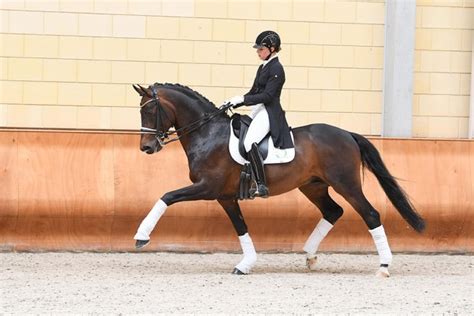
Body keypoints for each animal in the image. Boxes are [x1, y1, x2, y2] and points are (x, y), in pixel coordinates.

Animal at [131, 82, 426, 276]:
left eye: (150, 111)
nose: (146, 147)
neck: (208, 134)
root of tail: (347, 134)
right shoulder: (224, 196)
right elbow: (241, 227)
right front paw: (246, 264)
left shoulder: (207, 187)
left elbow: (167, 196)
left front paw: (141, 236)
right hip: (313, 186)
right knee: (333, 211)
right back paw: (310, 255)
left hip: (346, 184)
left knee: (371, 214)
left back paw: (384, 266)